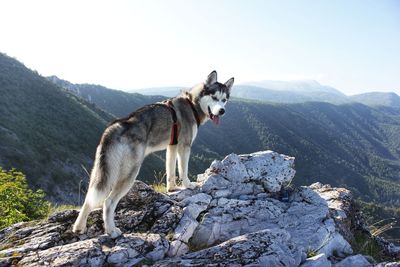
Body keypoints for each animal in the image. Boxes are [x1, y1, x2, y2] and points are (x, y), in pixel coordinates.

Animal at [73, 71, 233, 239]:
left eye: (224, 100)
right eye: (214, 97)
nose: (222, 111)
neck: (192, 104)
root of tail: (115, 127)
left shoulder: (172, 147)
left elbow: (170, 171)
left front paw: (172, 188)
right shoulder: (184, 146)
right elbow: (183, 170)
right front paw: (188, 185)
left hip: (102, 172)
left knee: (89, 198)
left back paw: (79, 227)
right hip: (129, 174)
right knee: (108, 202)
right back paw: (112, 230)